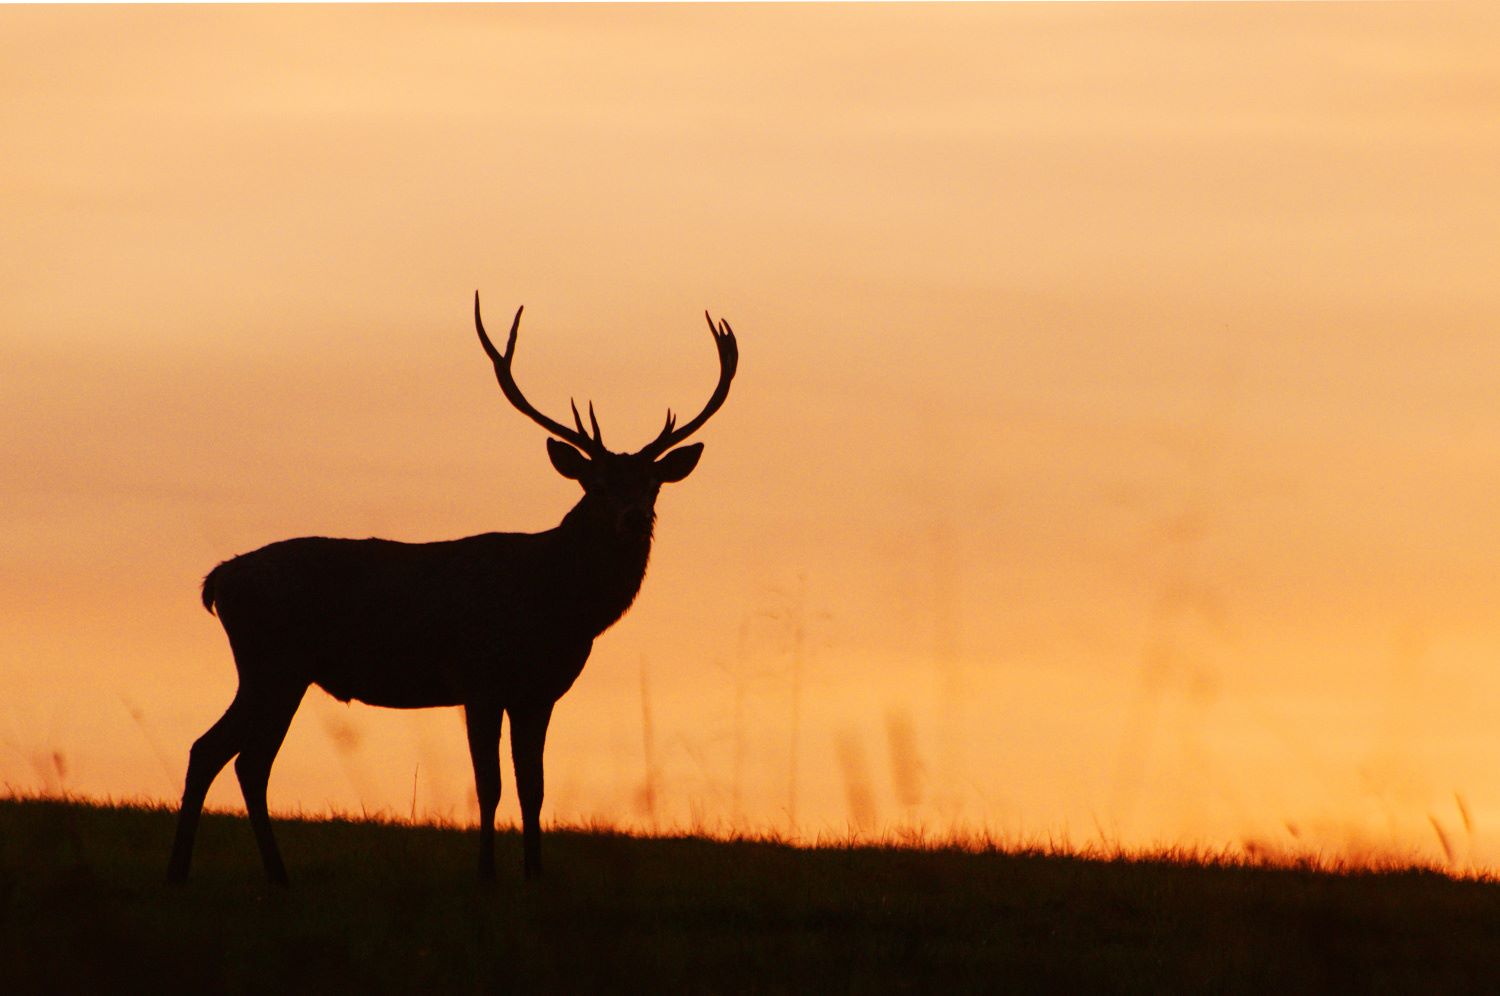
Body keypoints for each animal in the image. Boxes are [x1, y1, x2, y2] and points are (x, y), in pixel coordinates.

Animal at [167, 292, 741, 882]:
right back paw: (190, 871)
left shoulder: (539, 693)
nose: (634, 518)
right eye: (597, 484)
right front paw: (486, 874)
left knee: (237, 759)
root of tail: (217, 581)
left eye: (652, 485)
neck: (557, 604)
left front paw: (534, 874)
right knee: (220, 752)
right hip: (270, 663)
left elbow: (533, 788)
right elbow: (489, 786)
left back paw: (257, 875)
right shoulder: (479, 678)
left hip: (284, 672)